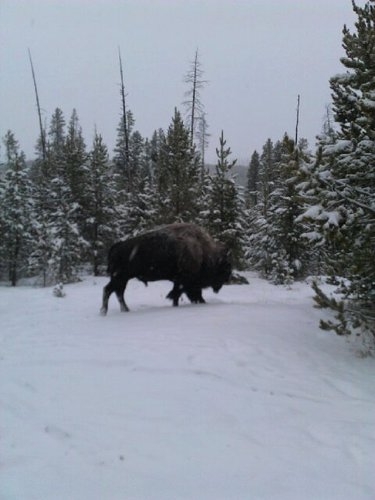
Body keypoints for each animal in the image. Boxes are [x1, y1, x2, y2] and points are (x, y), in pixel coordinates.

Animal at [101, 224, 234, 314]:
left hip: (123, 278)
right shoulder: (185, 281)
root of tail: (117, 246)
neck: (203, 251)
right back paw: (104, 312)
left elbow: (180, 294)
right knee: (109, 290)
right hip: (120, 277)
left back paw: (125, 310)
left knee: (118, 292)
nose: (227, 279)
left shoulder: (181, 282)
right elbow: (179, 294)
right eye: (226, 267)